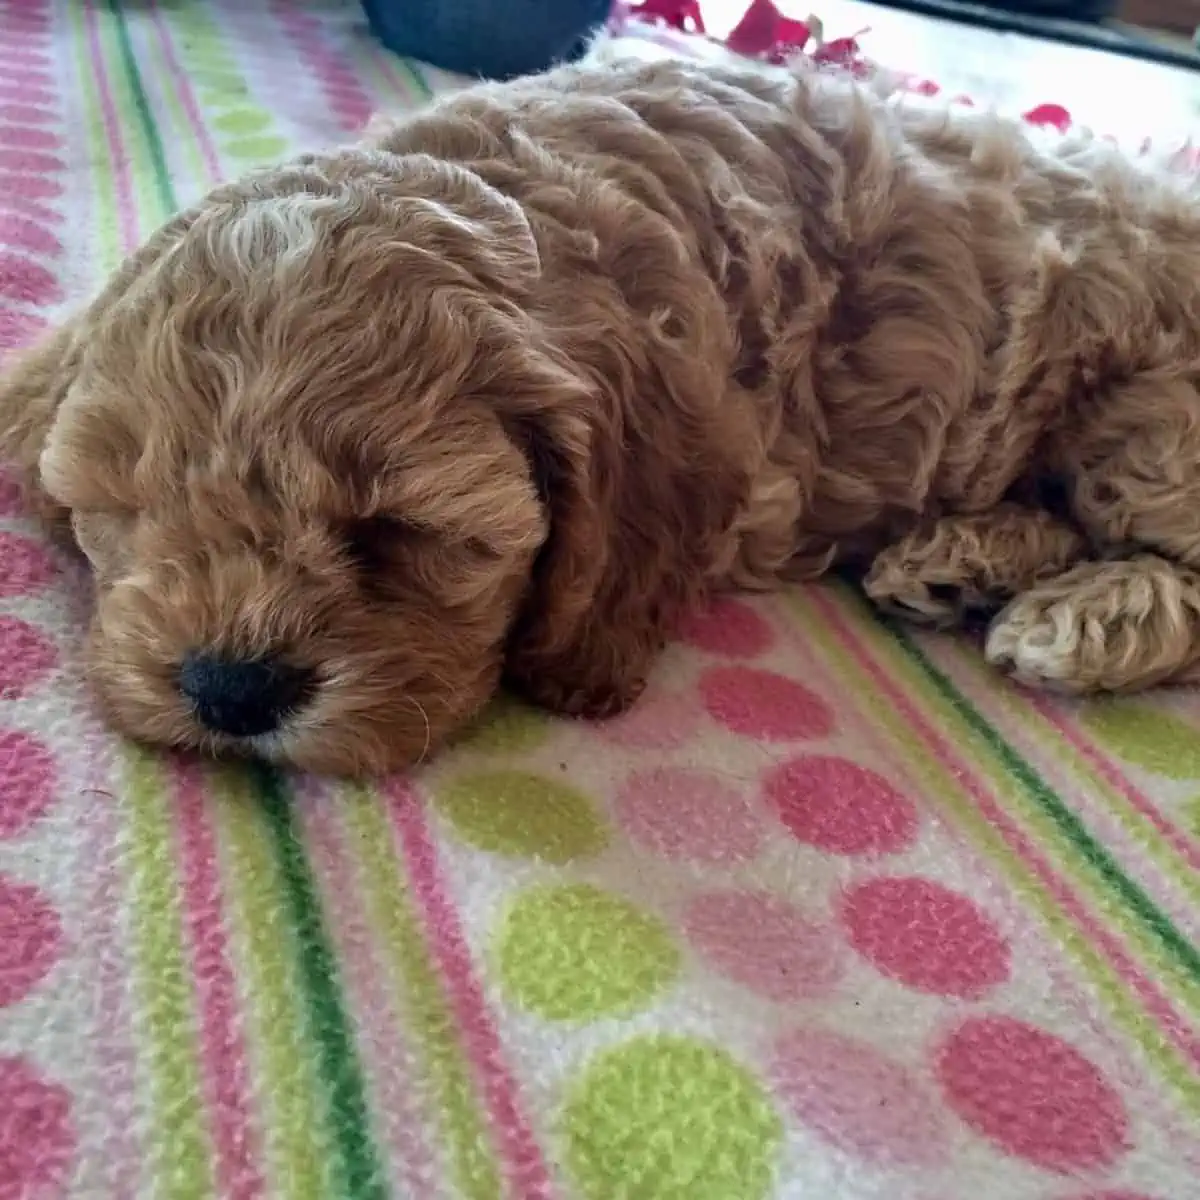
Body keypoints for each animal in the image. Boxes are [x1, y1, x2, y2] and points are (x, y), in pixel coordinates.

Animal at [2, 54, 1200, 777]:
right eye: (127, 506)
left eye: (405, 530)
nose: (230, 688)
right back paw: (959, 558)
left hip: (1145, 417)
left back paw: (1081, 616)